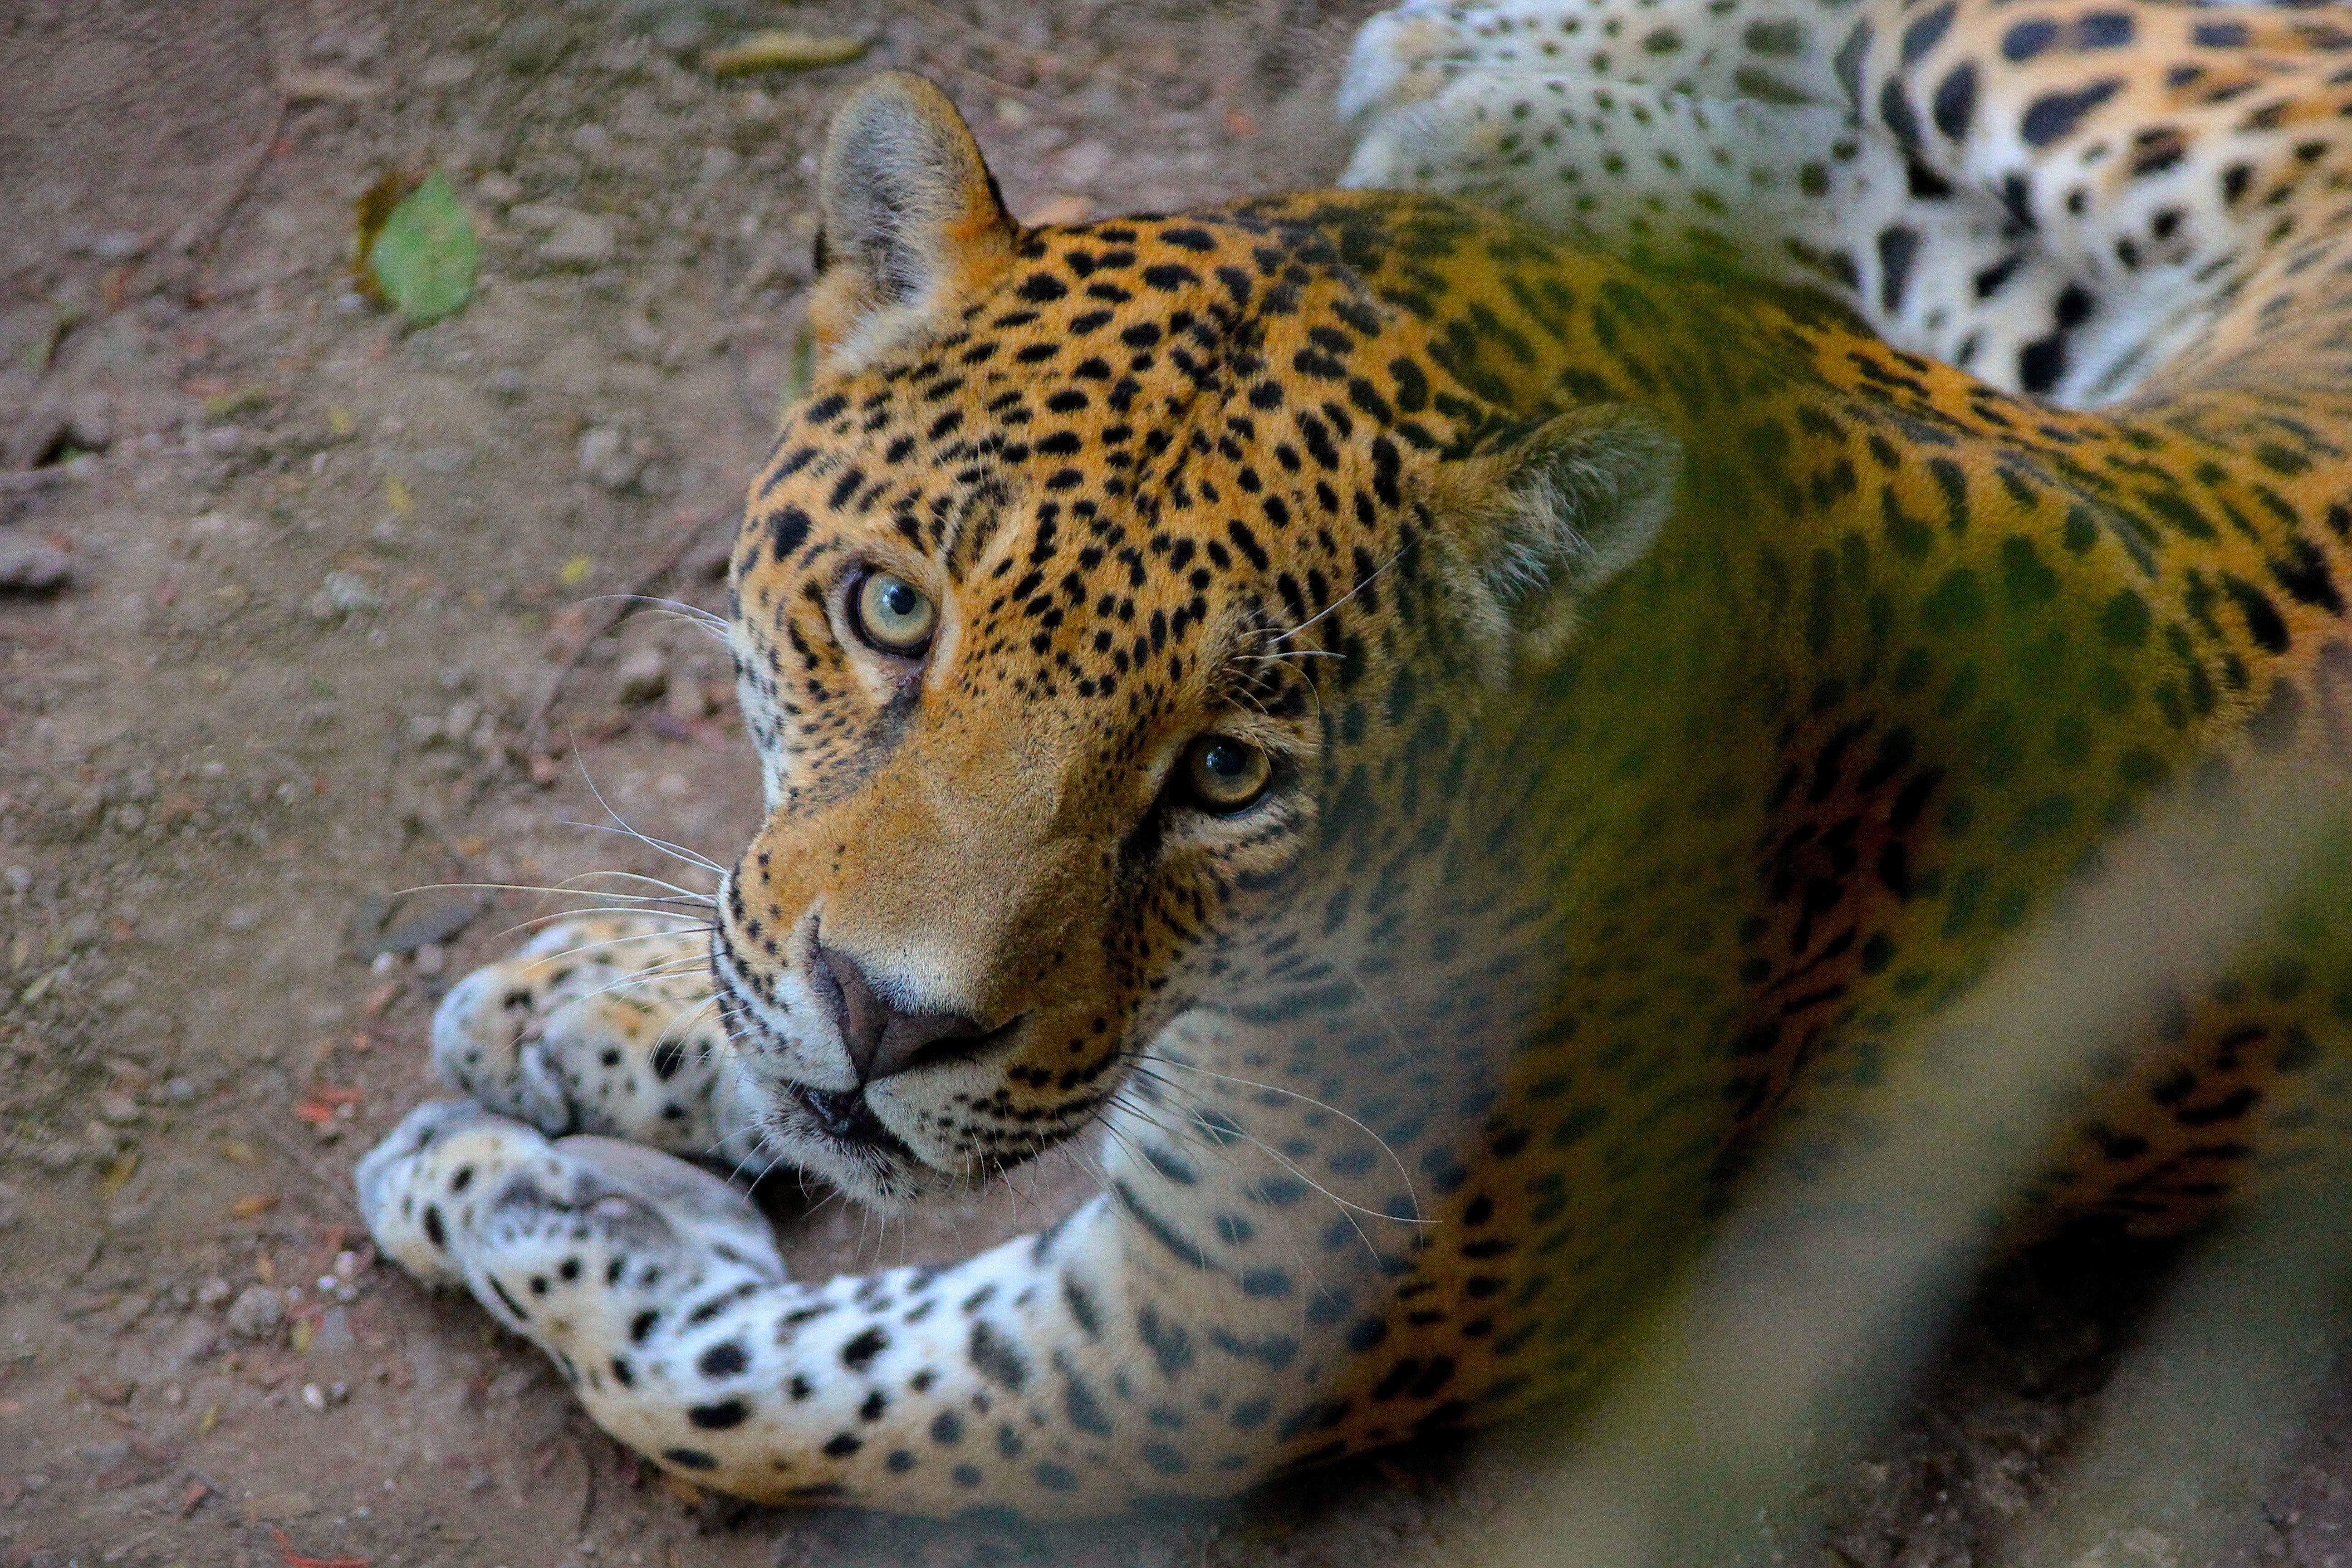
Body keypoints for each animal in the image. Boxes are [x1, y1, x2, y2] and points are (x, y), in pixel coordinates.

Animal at [354, 13, 2352, 1518]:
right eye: (890, 610)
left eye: (1229, 778)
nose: (888, 1022)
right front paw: (585, 1012)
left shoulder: (1198, 1350)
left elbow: (746, 1390)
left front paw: (510, 1202)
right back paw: (1485, 85)